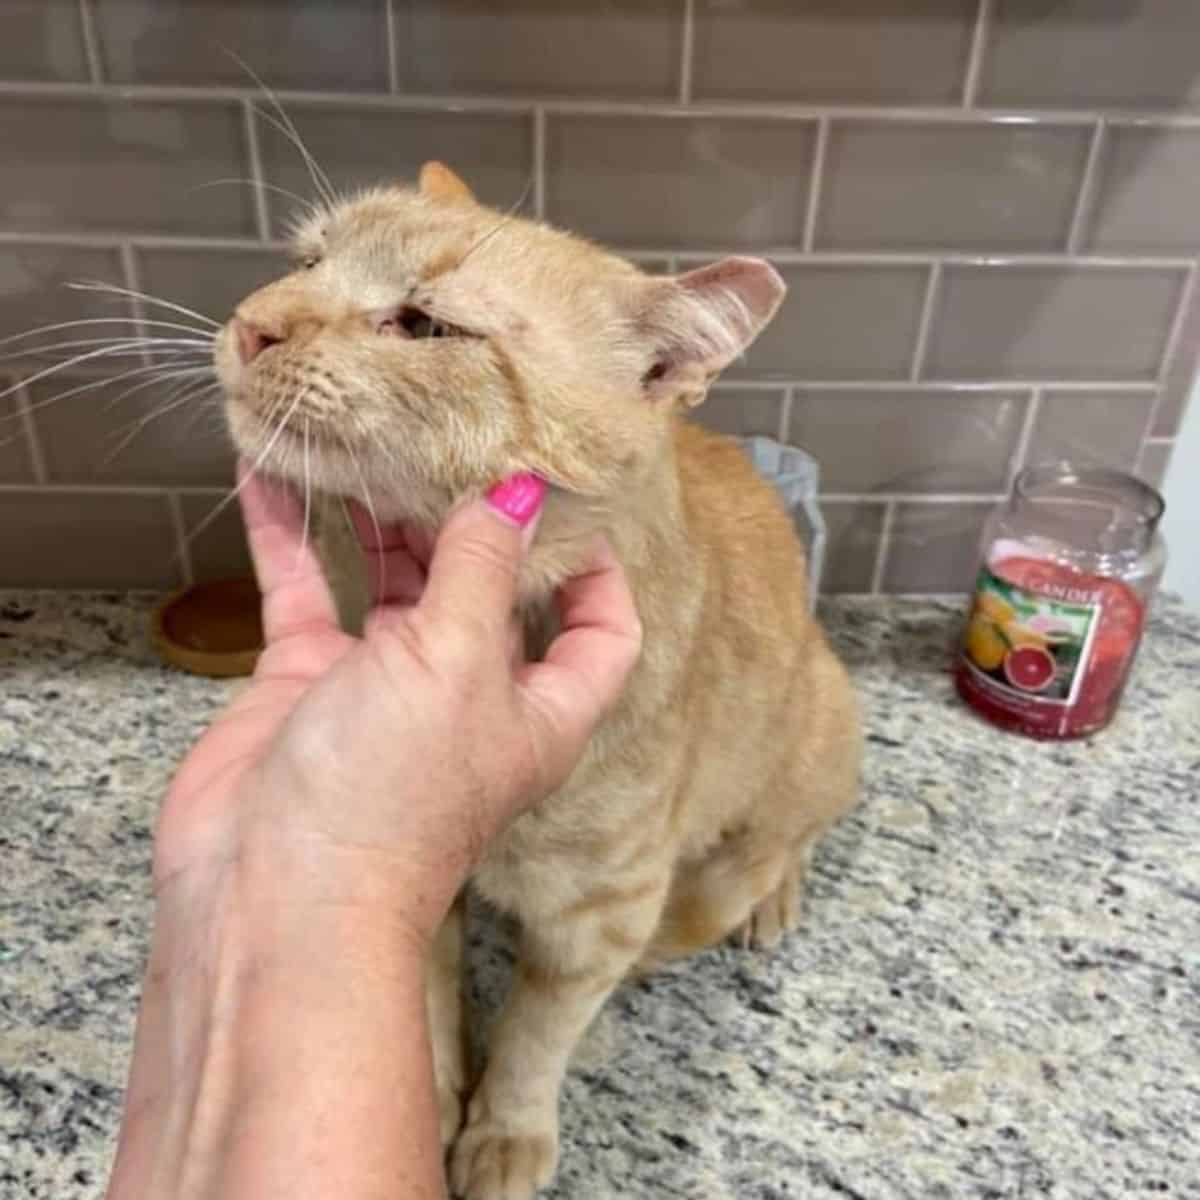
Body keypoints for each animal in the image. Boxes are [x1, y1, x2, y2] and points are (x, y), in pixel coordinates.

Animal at [213, 162, 854, 1200]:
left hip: (821, 731)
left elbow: (536, 1035)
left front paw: (505, 1132)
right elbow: (433, 1004)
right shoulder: (420, 879)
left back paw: (771, 896)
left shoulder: (603, 914)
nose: (251, 324)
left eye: (425, 325)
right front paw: (434, 1101)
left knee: (778, 841)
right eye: (307, 262)